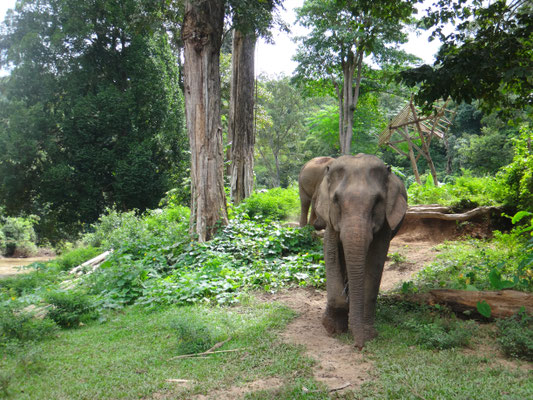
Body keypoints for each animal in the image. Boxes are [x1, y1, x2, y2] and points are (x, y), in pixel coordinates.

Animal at [312, 153, 408, 346]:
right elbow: (331, 253)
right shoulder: (330, 218)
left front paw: (368, 334)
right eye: (336, 200)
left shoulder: (386, 223)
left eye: (377, 201)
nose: (358, 346)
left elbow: (376, 260)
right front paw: (332, 328)